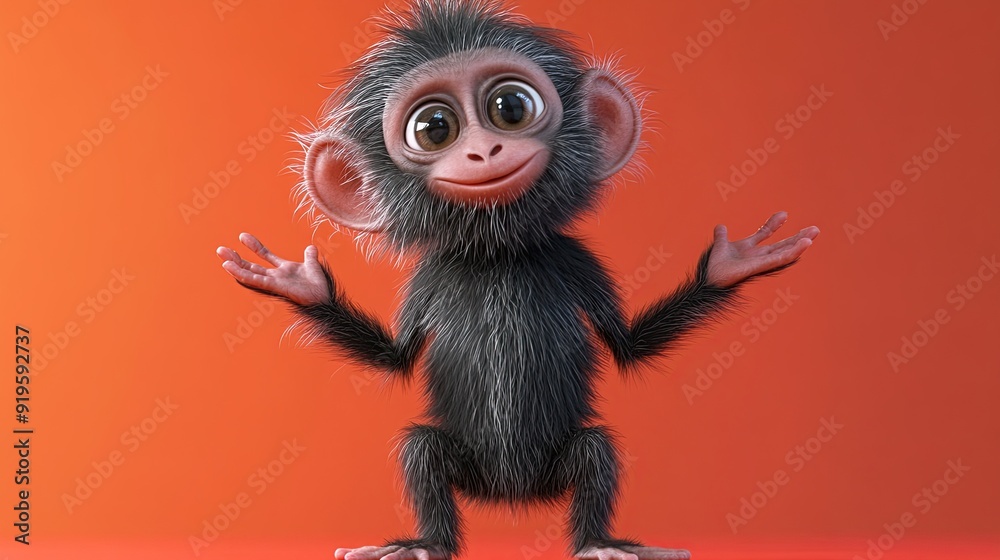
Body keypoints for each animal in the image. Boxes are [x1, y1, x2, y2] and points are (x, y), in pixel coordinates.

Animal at [216, 2, 819, 559]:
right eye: (434, 128)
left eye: (510, 108)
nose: (484, 150)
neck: (500, 255)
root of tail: (513, 494)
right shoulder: (430, 275)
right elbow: (395, 357)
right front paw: (299, 283)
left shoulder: (576, 259)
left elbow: (628, 345)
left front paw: (730, 263)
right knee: (423, 451)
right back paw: (425, 543)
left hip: (567, 459)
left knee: (595, 452)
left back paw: (598, 543)